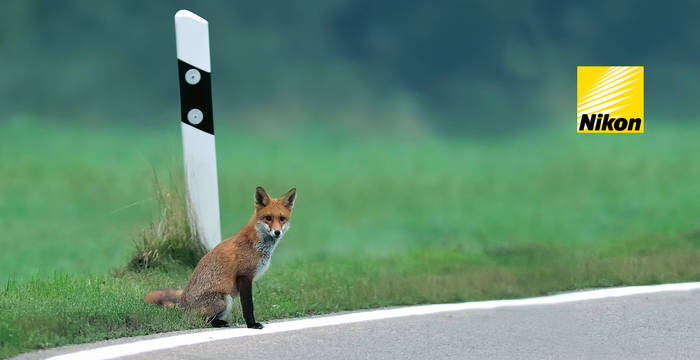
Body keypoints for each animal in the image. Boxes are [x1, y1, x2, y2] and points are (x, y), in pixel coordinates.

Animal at [144, 186, 296, 330]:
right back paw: (219, 323)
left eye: (282, 219)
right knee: (202, 320)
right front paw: (252, 325)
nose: (277, 232)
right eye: (268, 218)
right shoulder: (244, 276)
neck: (257, 243)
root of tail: (182, 305)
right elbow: (248, 306)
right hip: (225, 299)